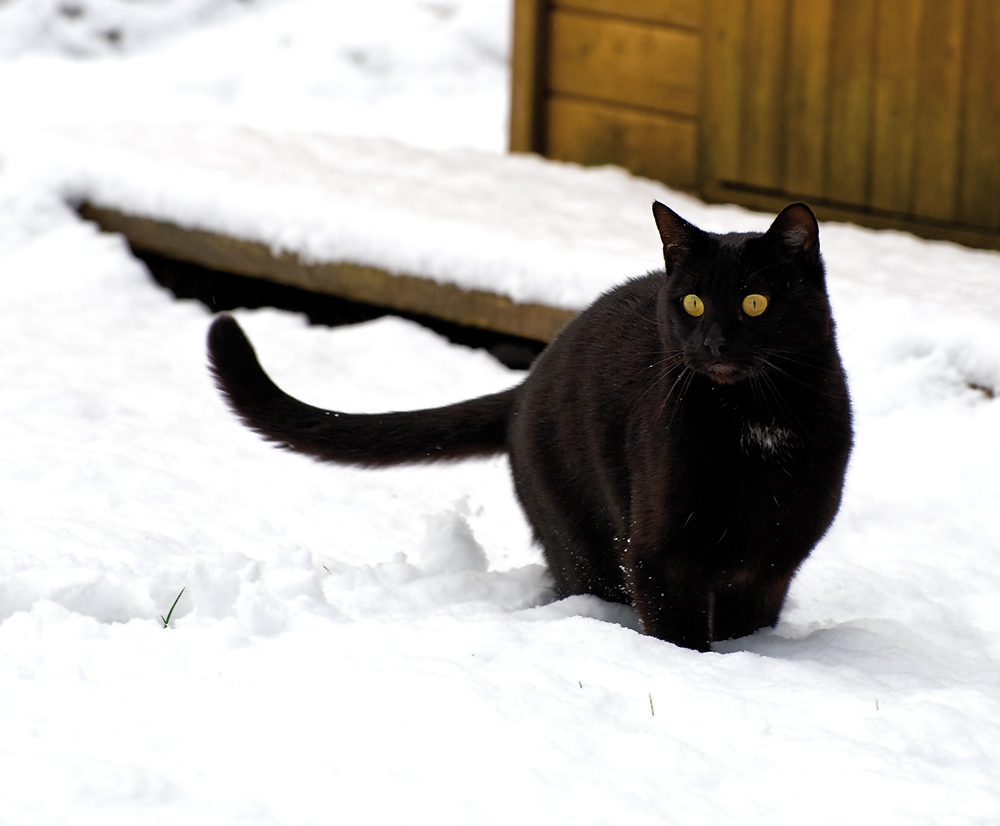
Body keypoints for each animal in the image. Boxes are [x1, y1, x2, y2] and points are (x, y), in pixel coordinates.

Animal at [209, 201, 852, 652]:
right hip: (583, 538)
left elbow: (747, 628)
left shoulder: (772, 564)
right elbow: (681, 634)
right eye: (692, 303)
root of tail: (525, 384)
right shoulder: (658, 554)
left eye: (754, 303)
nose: (714, 342)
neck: (756, 421)